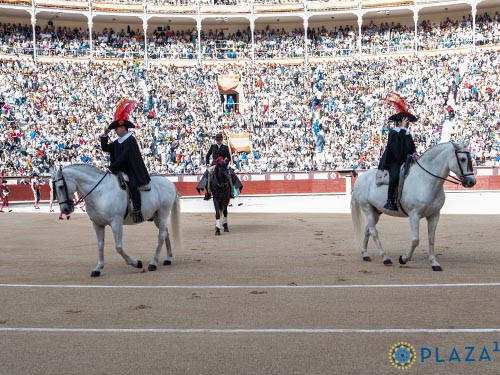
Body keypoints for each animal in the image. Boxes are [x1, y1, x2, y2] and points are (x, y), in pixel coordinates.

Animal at [52, 166, 182, 278]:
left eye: (61, 186)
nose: (65, 210)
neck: (100, 192)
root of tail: (169, 183)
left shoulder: (116, 224)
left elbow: (118, 247)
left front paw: (137, 263)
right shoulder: (97, 224)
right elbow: (100, 245)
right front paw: (98, 268)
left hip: (163, 213)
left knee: (161, 236)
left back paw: (153, 263)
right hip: (156, 217)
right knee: (165, 233)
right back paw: (168, 258)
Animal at [352, 142, 476, 272]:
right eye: (463, 159)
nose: (472, 181)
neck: (425, 180)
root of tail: (360, 178)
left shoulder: (434, 215)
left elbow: (431, 239)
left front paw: (434, 263)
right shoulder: (414, 215)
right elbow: (416, 240)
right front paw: (403, 259)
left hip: (376, 212)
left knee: (367, 230)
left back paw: (365, 254)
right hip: (367, 209)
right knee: (374, 232)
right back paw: (385, 258)